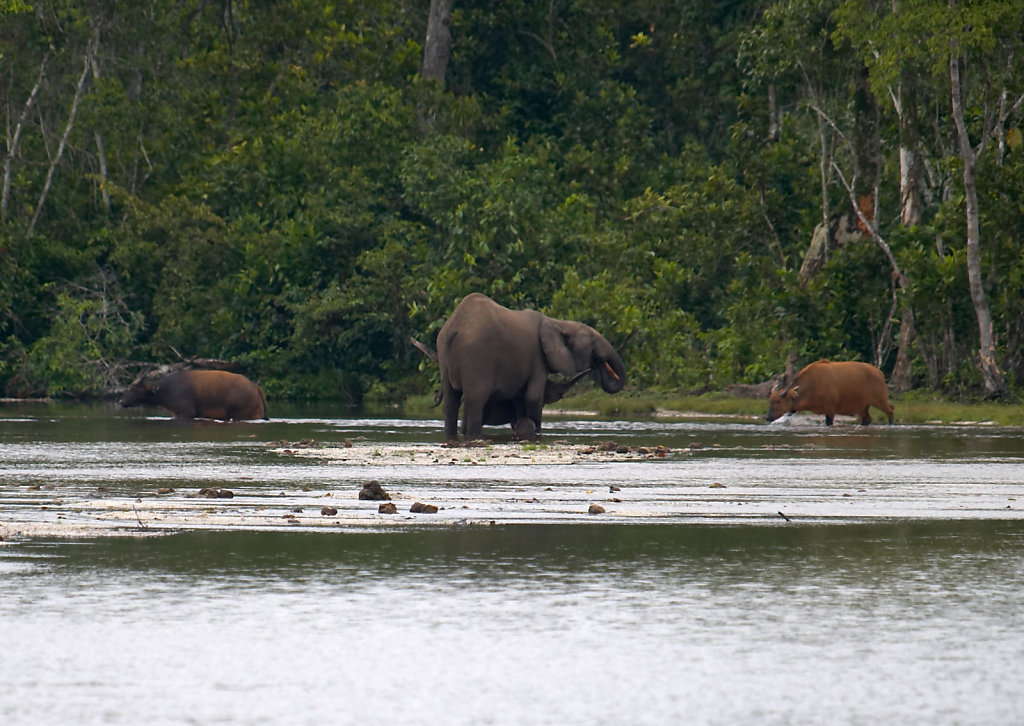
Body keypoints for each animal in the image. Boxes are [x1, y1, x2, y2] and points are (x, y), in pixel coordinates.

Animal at [119, 368, 268, 419]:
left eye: (134, 389)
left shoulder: (187, 412)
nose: (121, 401)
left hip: (243, 414)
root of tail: (255, 387)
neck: (167, 391)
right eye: (129, 387)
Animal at [438, 290, 626, 438]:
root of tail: (455, 328)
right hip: (477, 357)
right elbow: (533, 397)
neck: (557, 323)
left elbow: (521, 399)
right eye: (593, 340)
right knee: (475, 400)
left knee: (451, 401)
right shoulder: (538, 360)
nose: (599, 363)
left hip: (443, 355)